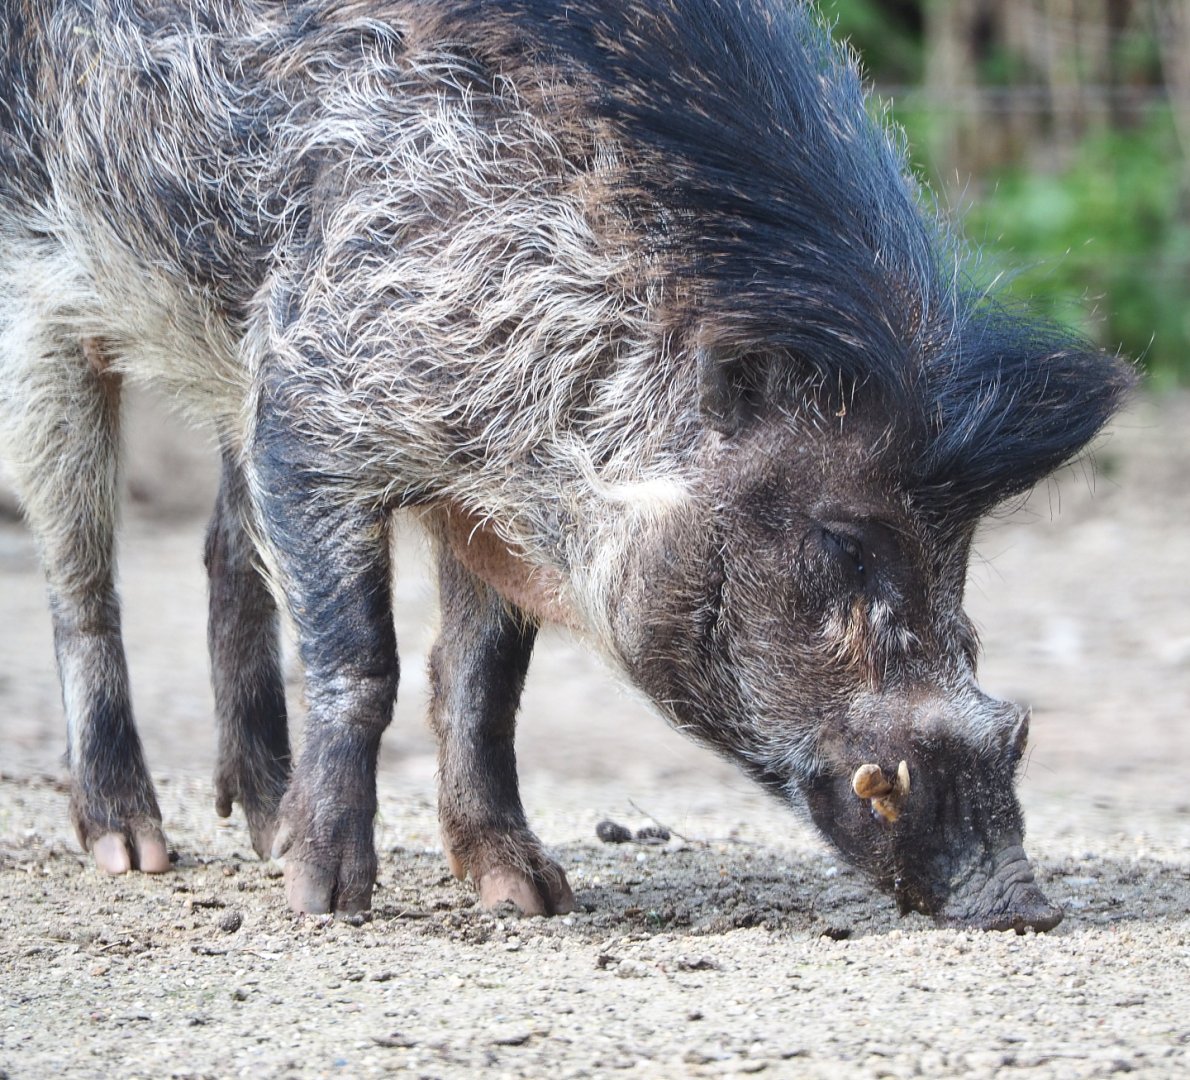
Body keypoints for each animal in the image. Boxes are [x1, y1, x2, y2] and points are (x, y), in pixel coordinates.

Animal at [0, 0, 1132, 929]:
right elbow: (362, 659)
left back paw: (265, 826)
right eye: (840, 538)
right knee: (80, 577)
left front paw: (528, 895)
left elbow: (483, 682)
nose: (1022, 903)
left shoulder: (482, 489)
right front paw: (326, 900)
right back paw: (135, 850)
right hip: (42, 292)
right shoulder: (314, 407)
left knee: (222, 550)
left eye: (961, 554)